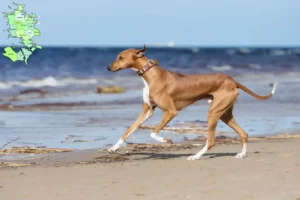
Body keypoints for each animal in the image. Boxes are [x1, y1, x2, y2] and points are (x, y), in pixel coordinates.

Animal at [106, 45, 276, 161]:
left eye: (121, 57)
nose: (108, 67)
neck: (151, 75)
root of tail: (233, 81)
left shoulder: (170, 111)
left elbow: (153, 132)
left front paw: (166, 140)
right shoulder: (147, 110)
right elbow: (128, 131)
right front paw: (113, 147)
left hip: (213, 113)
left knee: (211, 141)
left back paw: (196, 156)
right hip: (224, 114)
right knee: (244, 133)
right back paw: (242, 154)